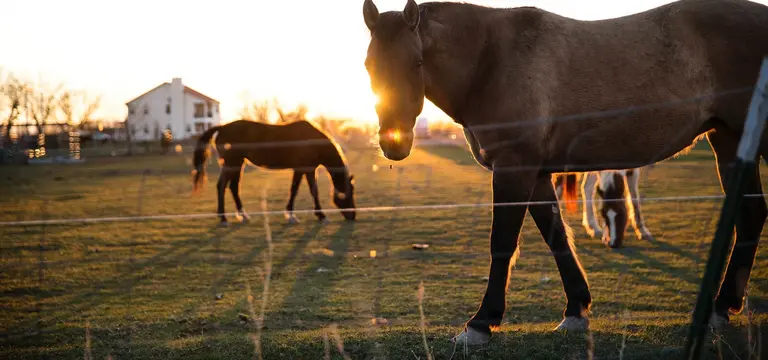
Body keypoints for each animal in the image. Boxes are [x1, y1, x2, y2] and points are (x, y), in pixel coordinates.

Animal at [194, 121, 358, 225]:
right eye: (349, 193)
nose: (353, 215)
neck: (311, 141)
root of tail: (222, 128)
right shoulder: (303, 169)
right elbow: (301, 190)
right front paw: (310, 216)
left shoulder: (307, 170)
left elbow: (305, 190)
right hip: (232, 163)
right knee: (223, 186)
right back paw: (224, 219)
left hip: (237, 163)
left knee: (232, 187)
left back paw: (242, 216)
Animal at [360, 0, 768, 346]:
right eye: (369, 66)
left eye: (416, 63)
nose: (395, 143)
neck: (490, 60)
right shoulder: (537, 174)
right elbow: (556, 236)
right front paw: (576, 309)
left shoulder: (514, 168)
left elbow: (503, 243)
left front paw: (481, 323)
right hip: (728, 140)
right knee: (751, 215)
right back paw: (722, 307)